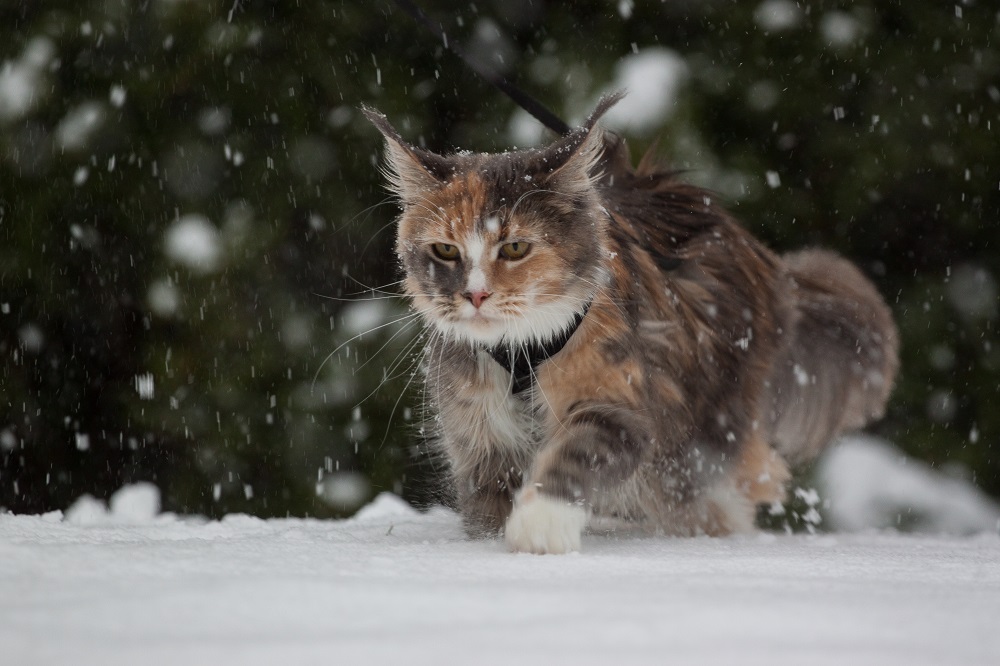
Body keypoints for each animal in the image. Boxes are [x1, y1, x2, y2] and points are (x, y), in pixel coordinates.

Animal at [362, 92, 900, 548]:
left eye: (514, 248)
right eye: (445, 251)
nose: (475, 294)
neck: (519, 352)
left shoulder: (618, 399)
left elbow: (574, 457)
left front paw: (539, 526)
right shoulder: (478, 432)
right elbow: (487, 503)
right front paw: (495, 540)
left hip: (698, 436)